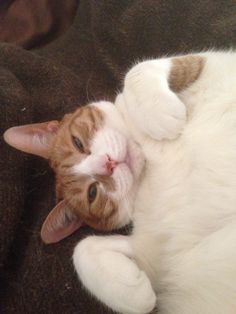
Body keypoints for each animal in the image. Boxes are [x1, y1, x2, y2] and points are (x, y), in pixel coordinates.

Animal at [3, 50, 236, 312]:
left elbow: (137, 71)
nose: (108, 163)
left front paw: (160, 114)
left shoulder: (215, 63)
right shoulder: (156, 248)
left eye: (78, 143)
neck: (149, 155)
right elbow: (82, 249)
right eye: (93, 193)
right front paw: (133, 292)